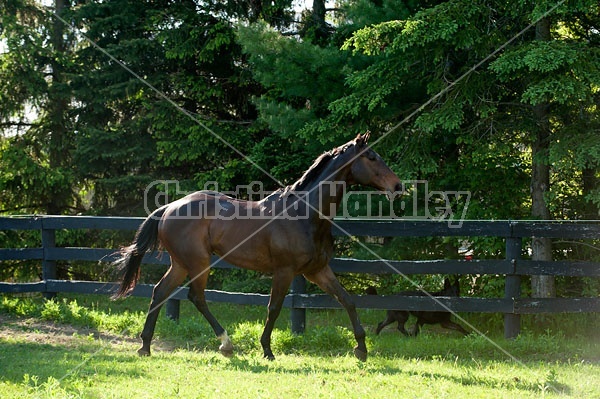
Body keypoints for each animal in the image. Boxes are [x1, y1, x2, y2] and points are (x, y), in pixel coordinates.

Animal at [112, 134, 404, 362]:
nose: (398, 186)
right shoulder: (285, 271)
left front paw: (361, 349)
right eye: (372, 158)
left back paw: (146, 346)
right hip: (198, 262)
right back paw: (226, 344)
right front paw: (267, 350)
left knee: (161, 292)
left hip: (181, 264)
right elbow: (273, 308)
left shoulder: (317, 271)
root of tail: (169, 207)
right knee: (196, 297)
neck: (305, 214)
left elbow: (347, 300)